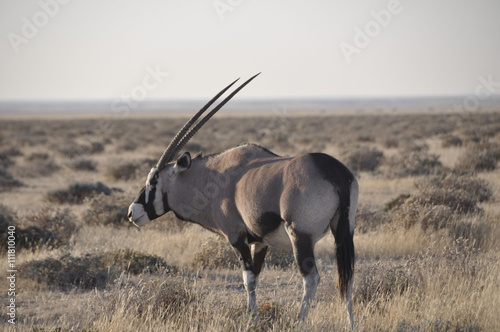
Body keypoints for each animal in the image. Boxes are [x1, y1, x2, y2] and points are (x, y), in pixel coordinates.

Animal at [127, 74, 358, 326]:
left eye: (153, 180)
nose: (132, 212)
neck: (214, 179)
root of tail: (336, 173)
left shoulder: (236, 237)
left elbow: (248, 279)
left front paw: (252, 319)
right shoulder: (260, 242)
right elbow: (255, 277)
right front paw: (254, 317)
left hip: (300, 235)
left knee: (311, 278)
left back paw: (299, 322)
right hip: (343, 231)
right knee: (347, 276)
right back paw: (351, 323)